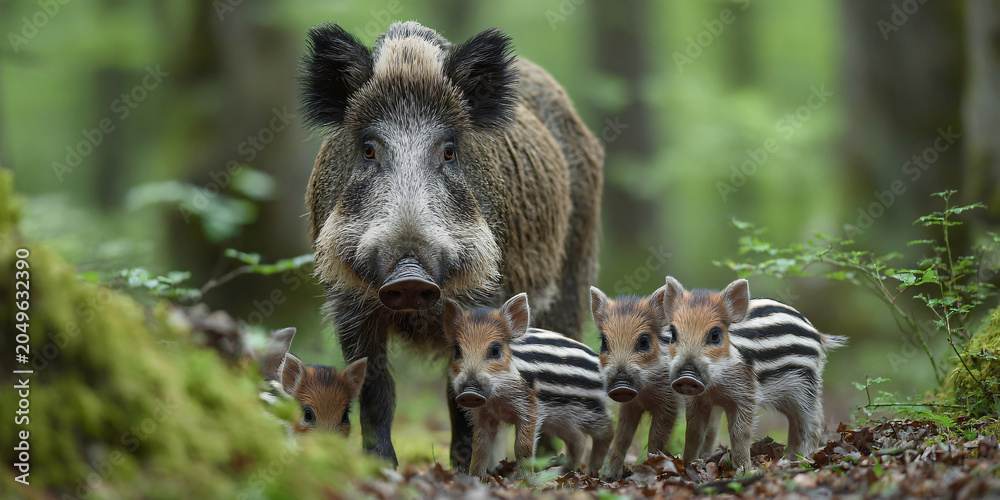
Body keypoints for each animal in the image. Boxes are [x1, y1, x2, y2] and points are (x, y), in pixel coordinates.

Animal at [300, 21, 604, 467]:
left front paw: (466, 468)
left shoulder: (485, 296)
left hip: (573, 270)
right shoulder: (349, 304)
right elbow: (376, 388)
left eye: (448, 150)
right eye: (368, 148)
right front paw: (382, 466)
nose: (409, 276)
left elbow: (462, 391)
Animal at [445, 293, 612, 479]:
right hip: (561, 419)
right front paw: (477, 479)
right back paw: (560, 472)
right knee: (578, 439)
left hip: (591, 409)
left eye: (495, 350)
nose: (469, 393)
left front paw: (523, 480)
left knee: (607, 431)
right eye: (458, 351)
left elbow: (521, 447)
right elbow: (480, 448)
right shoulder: (483, 414)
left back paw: (593, 472)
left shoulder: (530, 408)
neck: (498, 398)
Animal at [661, 276, 845, 471]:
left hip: (805, 387)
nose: (687, 377)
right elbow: (694, 432)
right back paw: (788, 458)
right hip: (786, 396)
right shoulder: (697, 400)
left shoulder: (747, 394)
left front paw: (743, 469)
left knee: (813, 421)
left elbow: (739, 432)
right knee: (794, 421)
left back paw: (803, 459)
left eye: (715, 335)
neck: (715, 384)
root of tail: (817, 333)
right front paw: (688, 465)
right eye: (673, 333)